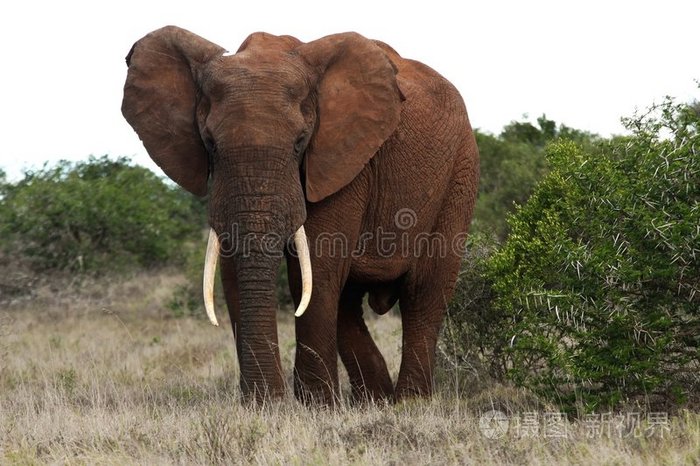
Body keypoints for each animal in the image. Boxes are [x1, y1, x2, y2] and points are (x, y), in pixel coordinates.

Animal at [121, 25, 482, 404]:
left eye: (299, 142)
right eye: (210, 143)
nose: (272, 401)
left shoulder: (343, 156)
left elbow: (315, 267)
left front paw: (314, 406)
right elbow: (234, 267)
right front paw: (266, 404)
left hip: (461, 171)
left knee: (425, 291)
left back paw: (409, 402)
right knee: (348, 301)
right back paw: (375, 399)